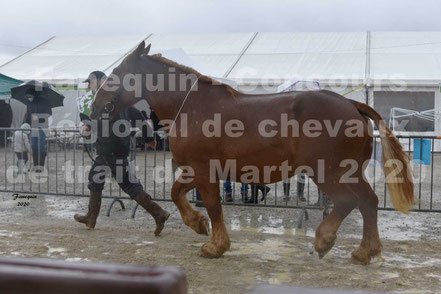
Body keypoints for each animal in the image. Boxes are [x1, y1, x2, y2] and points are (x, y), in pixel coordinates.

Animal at [89, 42, 412, 266]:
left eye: (117, 73)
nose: (93, 107)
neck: (190, 106)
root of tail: (353, 105)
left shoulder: (204, 172)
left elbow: (213, 206)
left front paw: (215, 245)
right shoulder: (196, 171)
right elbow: (176, 193)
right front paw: (197, 224)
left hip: (329, 171)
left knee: (353, 201)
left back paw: (333, 243)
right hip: (345, 171)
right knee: (366, 202)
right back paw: (358, 250)